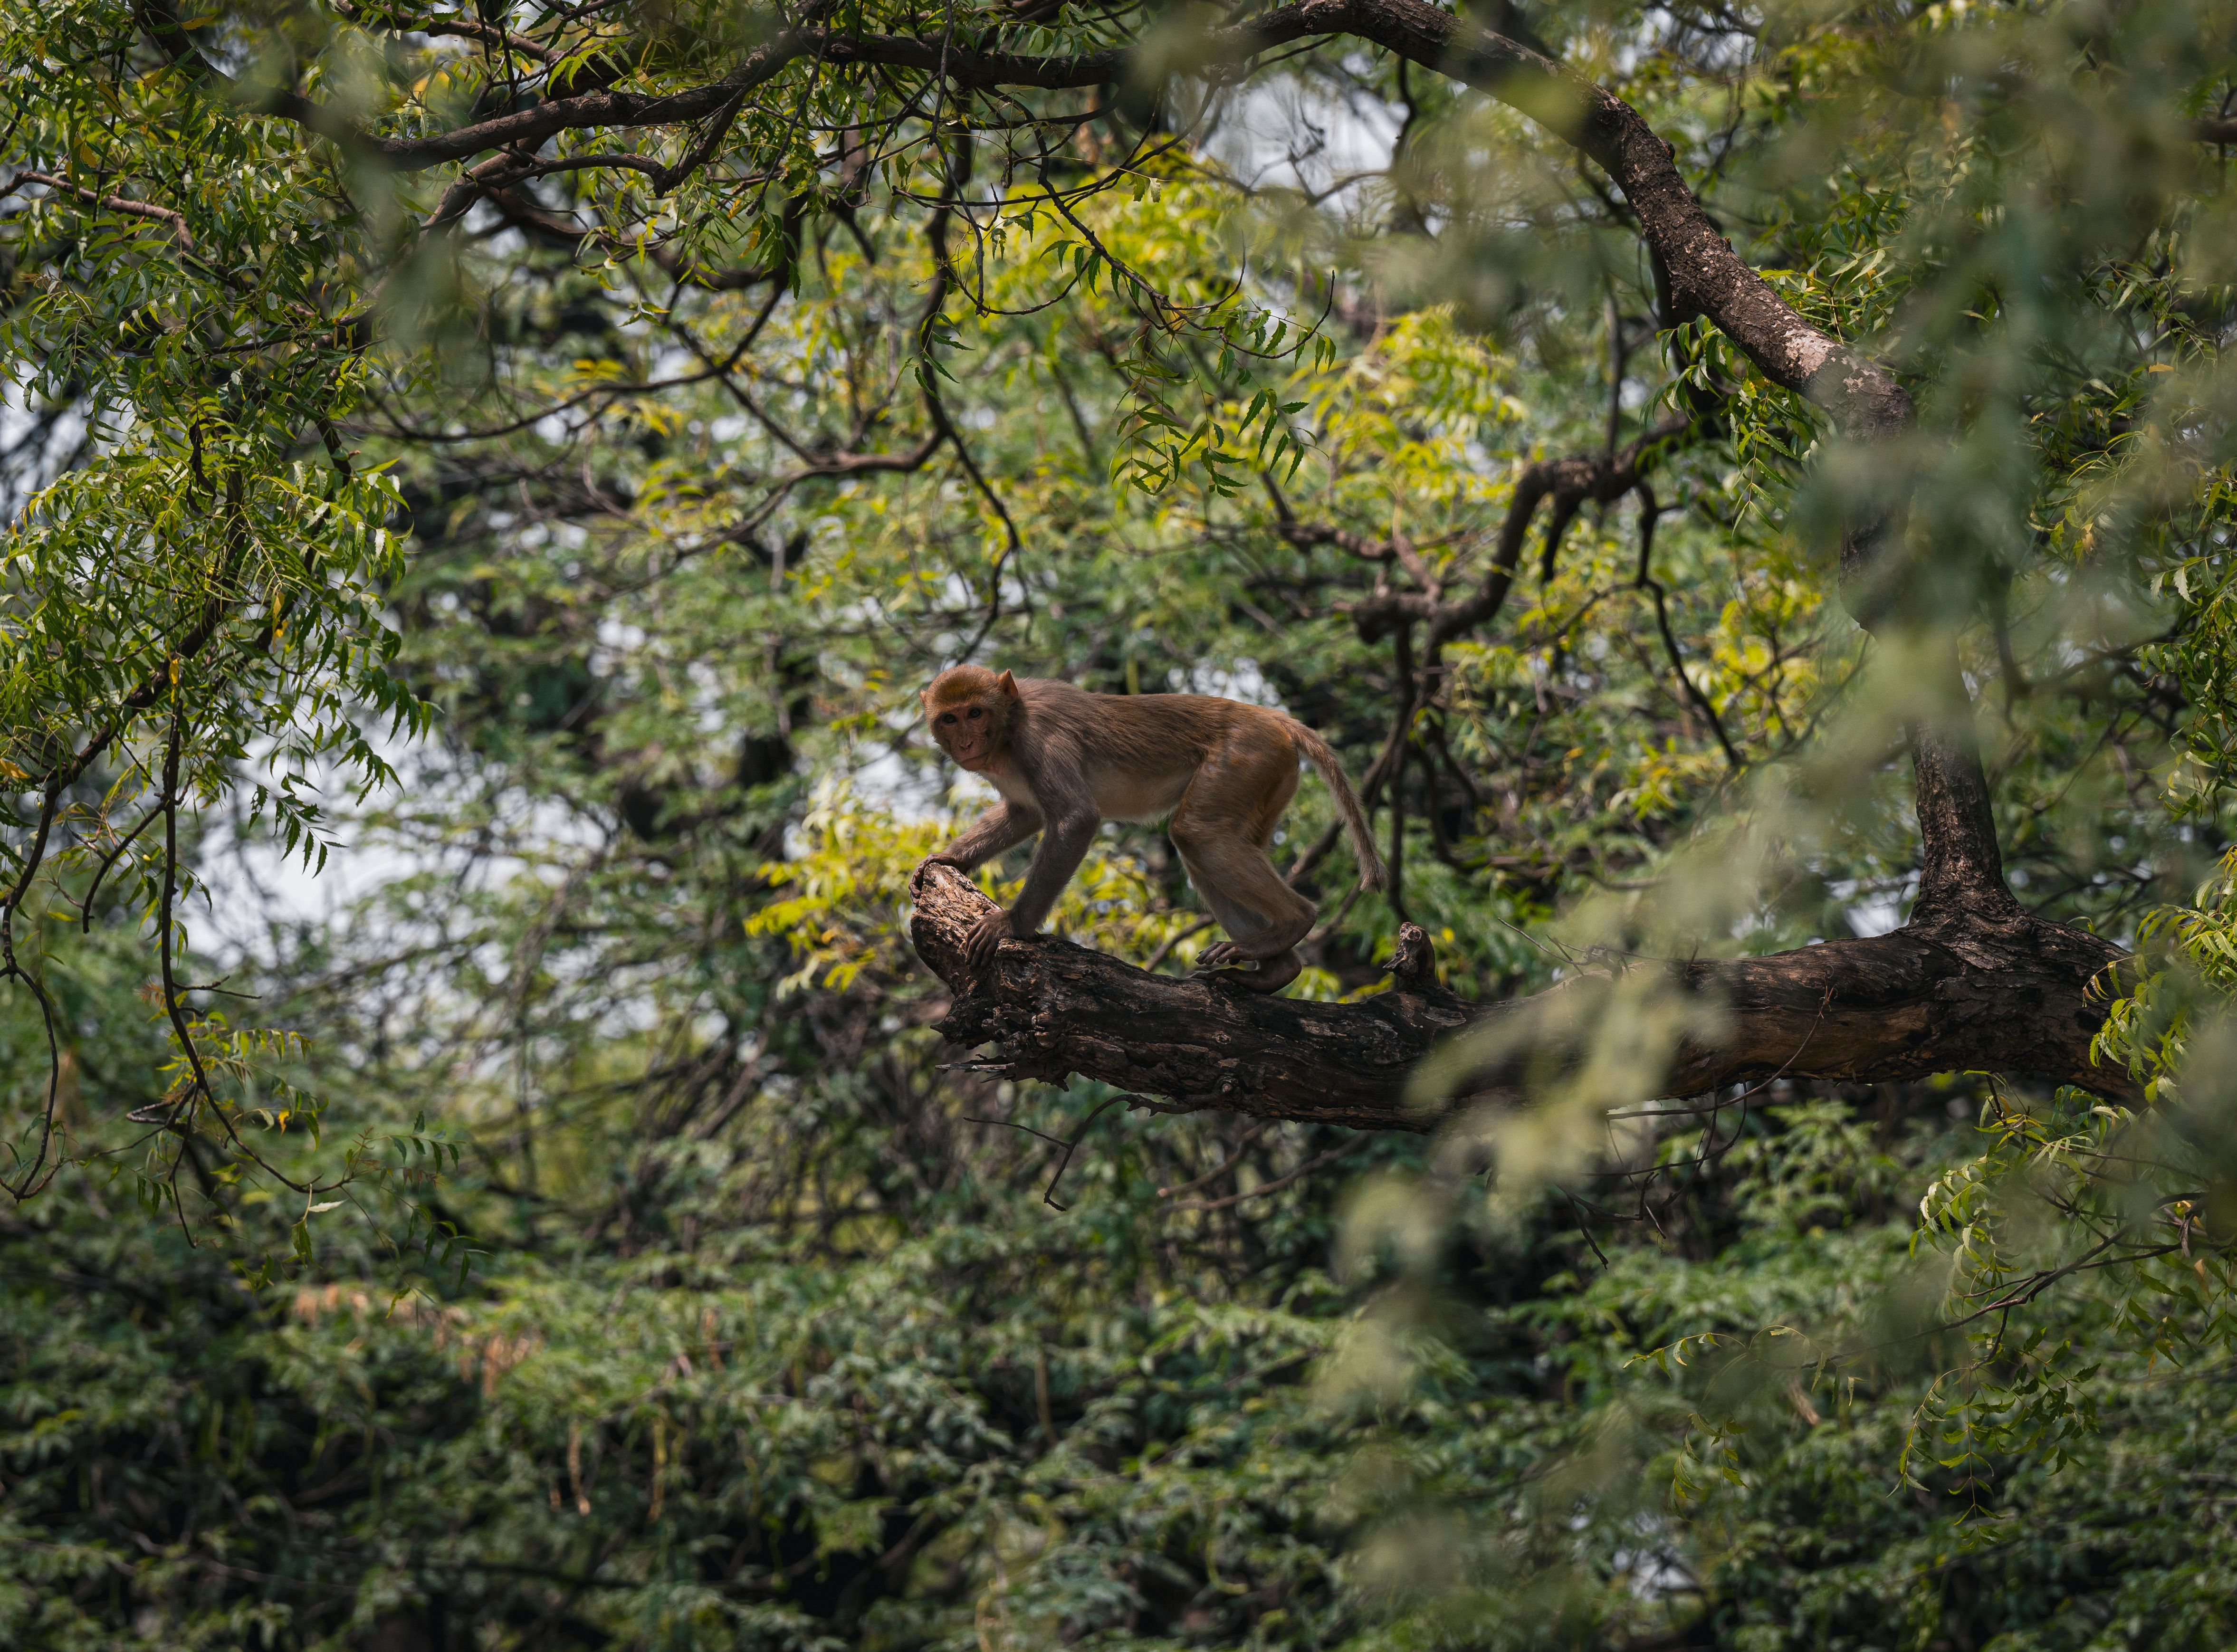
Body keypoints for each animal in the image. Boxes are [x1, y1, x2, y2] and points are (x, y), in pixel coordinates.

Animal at [917, 665, 1385, 994]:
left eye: (975, 713)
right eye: (950, 719)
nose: (967, 743)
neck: (1010, 730)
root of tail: (1270, 716)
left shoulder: (1041, 739)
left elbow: (1075, 818)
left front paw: (1012, 924)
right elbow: (1025, 813)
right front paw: (950, 857)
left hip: (1248, 756)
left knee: (1197, 833)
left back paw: (1295, 920)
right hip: (1271, 777)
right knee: (1206, 842)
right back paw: (1278, 969)